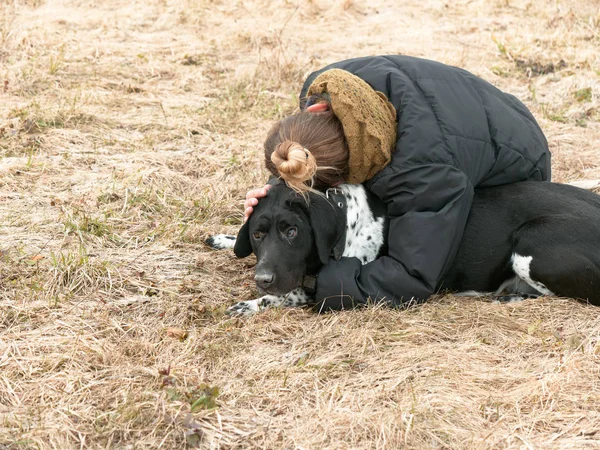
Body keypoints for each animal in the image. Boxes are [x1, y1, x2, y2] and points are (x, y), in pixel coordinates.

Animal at [207, 181, 600, 314]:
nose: (263, 279)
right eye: (258, 235)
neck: (343, 214)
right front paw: (226, 239)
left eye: (292, 232)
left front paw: (253, 304)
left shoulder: (355, 283)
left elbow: (296, 292)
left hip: (531, 241)